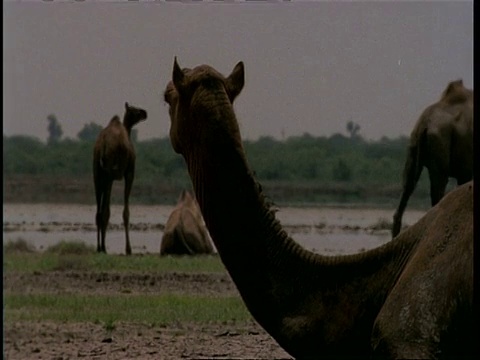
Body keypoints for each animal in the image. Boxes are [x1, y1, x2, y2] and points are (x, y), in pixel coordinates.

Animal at [93, 102, 147, 255]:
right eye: (135, 110)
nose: (144, 113)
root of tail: (103, 144)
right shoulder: (129, 173)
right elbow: (126, 212)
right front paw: (128, 249)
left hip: (97, 173)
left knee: (99, 211)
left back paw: (99, 247)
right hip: (109, 173)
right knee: (105, 211)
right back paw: (103, 247)